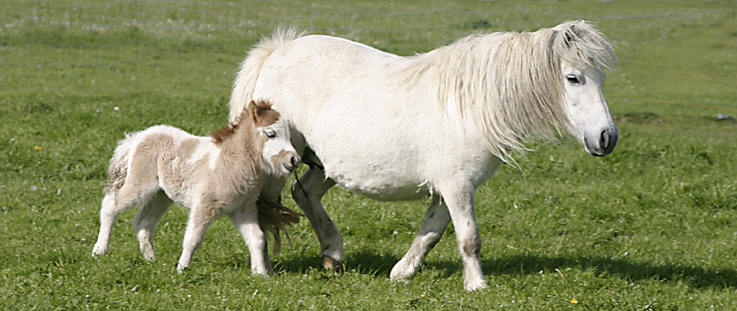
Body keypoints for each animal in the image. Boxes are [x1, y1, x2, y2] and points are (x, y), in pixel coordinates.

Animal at [92, 99, 300, 276]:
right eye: (271, 134)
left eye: (290, 135)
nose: (294, 159)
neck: (230, 162)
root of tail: (137, 137)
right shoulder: (204, 206)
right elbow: (192, 238)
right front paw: (181, 269)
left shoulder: (243, 209)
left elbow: (257, 238)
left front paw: (261, 274)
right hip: (139, 184)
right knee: (110, 205)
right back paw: (100, 250)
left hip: (161, 195)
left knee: (142, 221)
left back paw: (151, 259)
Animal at [229, 20, 616, 292]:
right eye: (573, 78)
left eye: (601, 78)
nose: (606, 137)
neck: (469, 105)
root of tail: (278, 50)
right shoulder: (457, 186)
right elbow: (469, 239)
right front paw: (477, 286)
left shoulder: (450, 188)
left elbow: (431, 232)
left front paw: (402, 272)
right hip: (278, 164)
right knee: (259, 208)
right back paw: (263, 268)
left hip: (323, 165)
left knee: (304, 193)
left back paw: (332, 254)